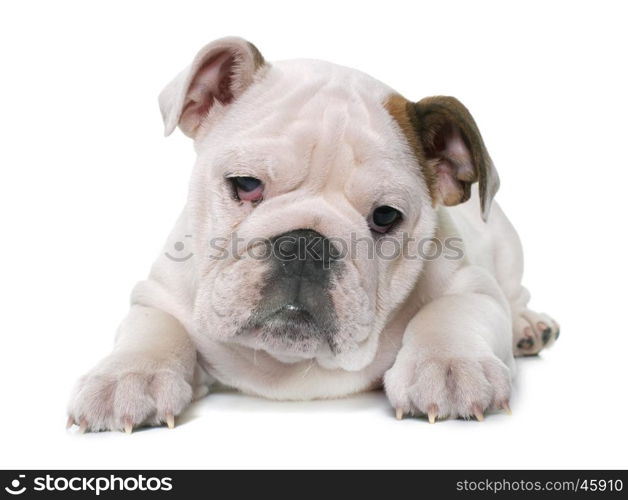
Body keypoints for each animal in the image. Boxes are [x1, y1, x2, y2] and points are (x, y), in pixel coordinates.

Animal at [67, 37, 560, 432]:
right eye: (246, 184)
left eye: (386, 216)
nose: (305, 245)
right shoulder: (159, 294)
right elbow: (155, 328)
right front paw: (129, 378)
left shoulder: (470, 283)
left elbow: (452, 312)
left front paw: (448, 365)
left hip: (507, 247)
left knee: (515, 293)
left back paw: (527, 326)